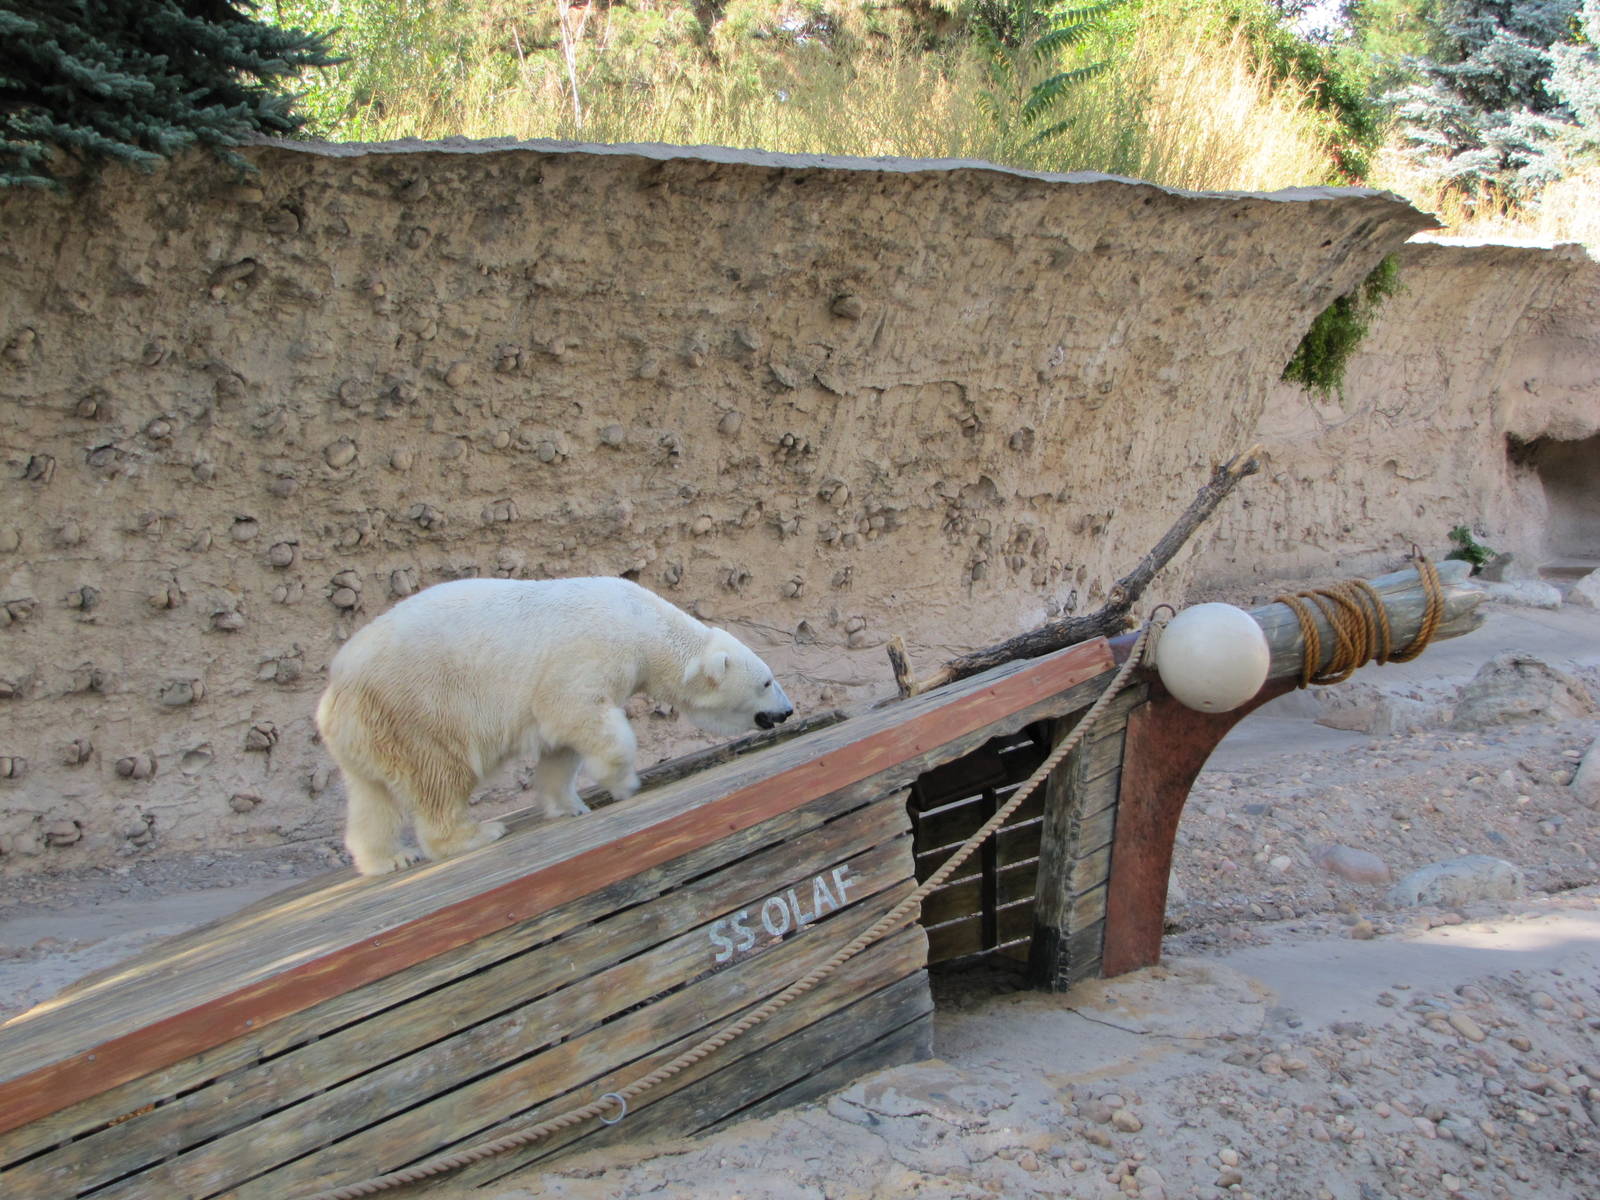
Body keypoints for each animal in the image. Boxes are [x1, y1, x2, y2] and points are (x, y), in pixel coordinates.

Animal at [315, 576, 794, 876]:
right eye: (767, 681)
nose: (788, 710)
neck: (642, 622)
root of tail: (335, 689)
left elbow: (560, 747)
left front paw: (568, 805)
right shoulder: (589, 651)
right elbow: (577, 713)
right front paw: (624, 783)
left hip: (371, 728)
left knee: (372, 797)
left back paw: (388, 859)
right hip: (419, 706)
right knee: (438, 775)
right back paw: (474, 834)